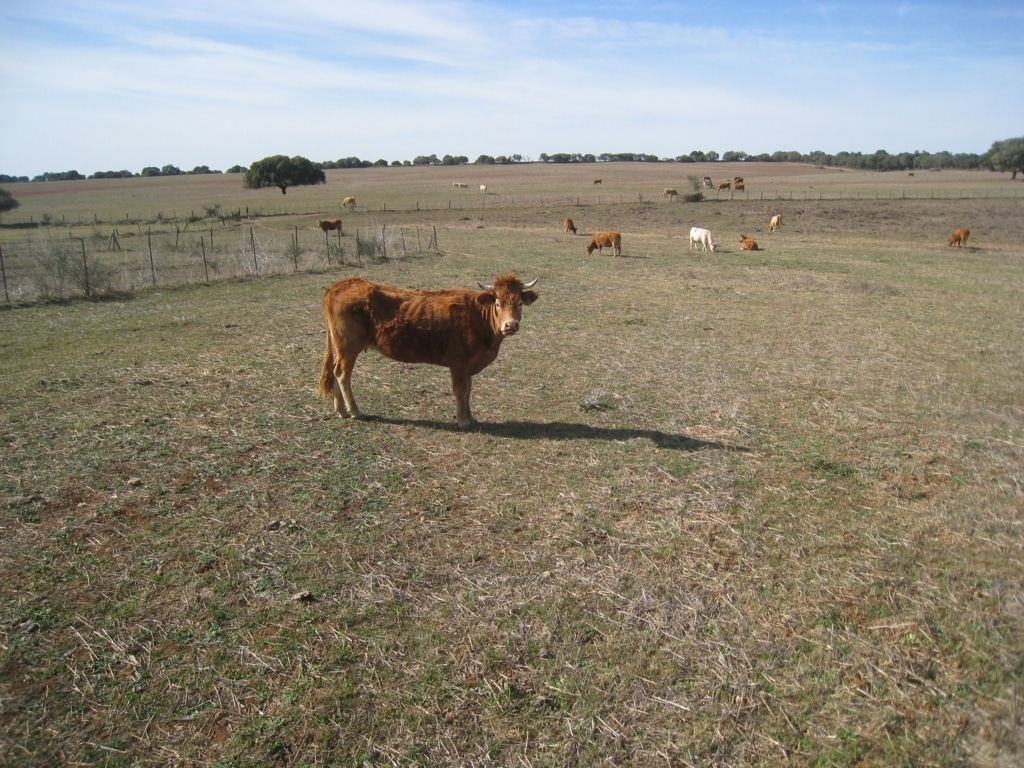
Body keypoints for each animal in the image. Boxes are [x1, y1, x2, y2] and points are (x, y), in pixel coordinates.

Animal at [317, 274, 544, 430]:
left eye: (520, 303)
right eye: (497, 303)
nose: (511, 325)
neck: (478, 318)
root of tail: (340, 285)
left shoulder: (467, 366)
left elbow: (468, 390)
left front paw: (471, 417)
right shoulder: (458, 363)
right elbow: (460, 390)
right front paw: (463, 421)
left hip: (341, 347)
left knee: (335, 372)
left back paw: (341, 410)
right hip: (349, 346)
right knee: (342, 374)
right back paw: (354, 411)